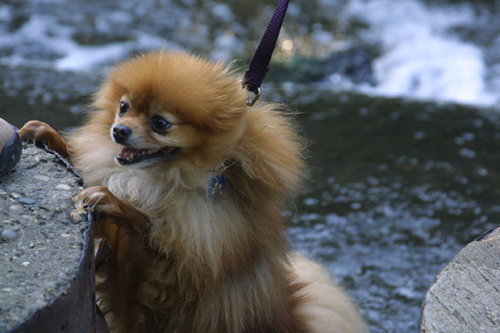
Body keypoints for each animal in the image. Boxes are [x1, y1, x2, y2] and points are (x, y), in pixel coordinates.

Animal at [18, 50, 368, 330]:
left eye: (160, 123)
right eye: (124, 107)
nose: (118, 130)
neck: (165, 180)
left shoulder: (172, 276)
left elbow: (145, 233)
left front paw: (111, 200)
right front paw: (47, 136)